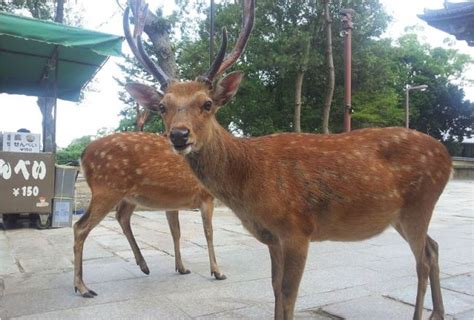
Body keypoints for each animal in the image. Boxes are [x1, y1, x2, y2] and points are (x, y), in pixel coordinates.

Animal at [124, 0, 450, 320]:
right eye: (163, 107)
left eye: (207, 103)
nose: (179, 135)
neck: (249, 182)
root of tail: (445, 156)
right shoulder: (272, 238)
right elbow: (275, 291)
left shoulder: (297, 230)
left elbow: (288, 295)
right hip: (401, 214)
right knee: (433, 248)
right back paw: (438, 313)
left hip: (419, 204)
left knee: (422, 259)